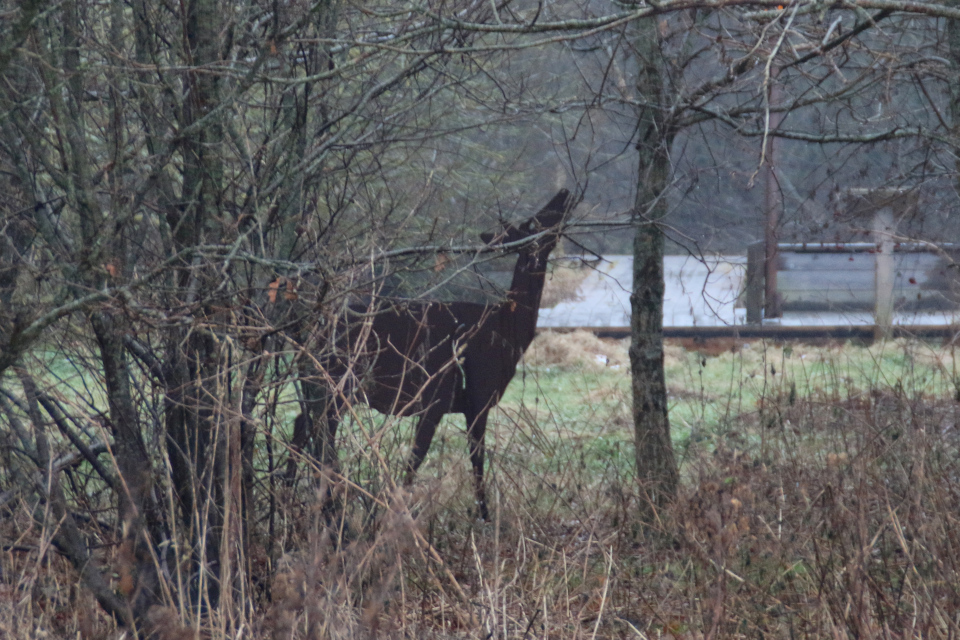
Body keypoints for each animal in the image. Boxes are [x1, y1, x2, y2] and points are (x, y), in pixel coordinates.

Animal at [302, 189, 568, 520]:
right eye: (536, 220)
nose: (564, 193)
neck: (506, 334)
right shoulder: (456, 397)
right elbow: (446, 458)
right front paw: (480, 516)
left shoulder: (460, 403)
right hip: (334, 385)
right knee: (322, 440)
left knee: (303, 431)